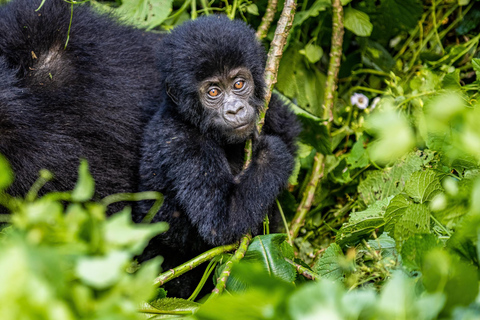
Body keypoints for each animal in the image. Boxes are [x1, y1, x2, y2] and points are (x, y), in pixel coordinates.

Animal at [136, 15, 300, 298]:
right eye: (213, 92)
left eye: (239, 84)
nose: (235, 110)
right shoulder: (182, 143)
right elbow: (221, 222)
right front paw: (271, 152)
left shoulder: (269, 106)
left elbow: (289, 128)